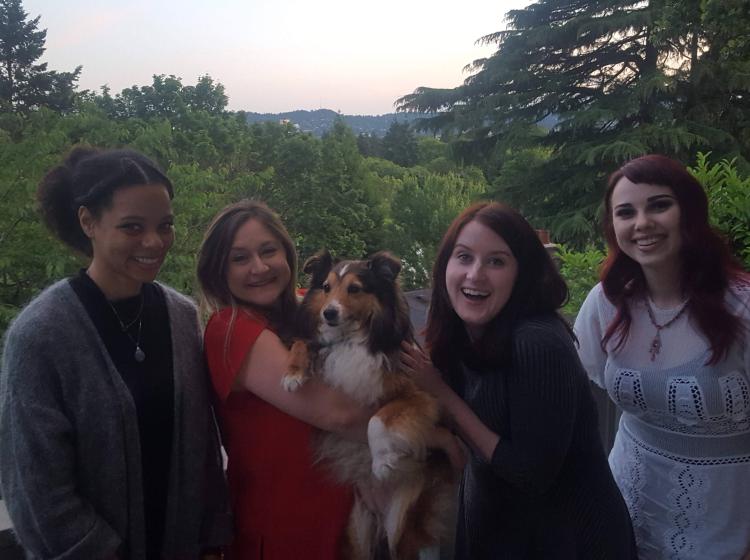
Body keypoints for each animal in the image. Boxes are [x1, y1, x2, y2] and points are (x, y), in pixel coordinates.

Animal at [284, 250, 456, 560]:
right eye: (326, 287)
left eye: (354, 288)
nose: (328, 313)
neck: (351, 340)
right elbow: (302, 343)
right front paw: (292, 373)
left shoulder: (420, 397)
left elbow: (378, 418)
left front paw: (382, 461)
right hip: (358, 527)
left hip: (401, 522)